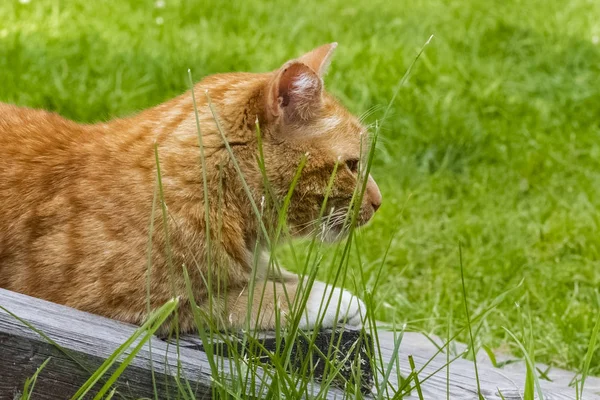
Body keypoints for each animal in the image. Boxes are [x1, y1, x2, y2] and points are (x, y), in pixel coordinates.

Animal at [0, 43, 382, 334]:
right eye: (353, 165)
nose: (379, 202)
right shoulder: (129, 306)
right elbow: (253, 298)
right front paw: (335, 299)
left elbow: (277, 275)